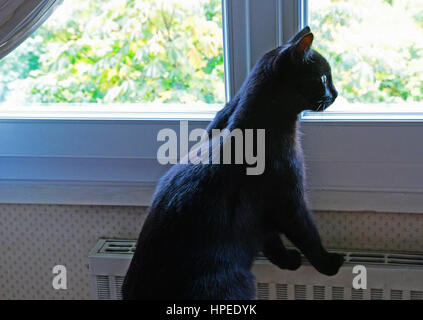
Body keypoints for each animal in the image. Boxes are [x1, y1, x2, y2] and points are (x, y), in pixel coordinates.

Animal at [123, 26, 344, 300]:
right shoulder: (290, 199)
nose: (336, 93)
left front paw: (286, 260)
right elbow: (307, 234)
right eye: (323, 78)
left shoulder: (261, 213)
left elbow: (270, 238)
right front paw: (328, 263)